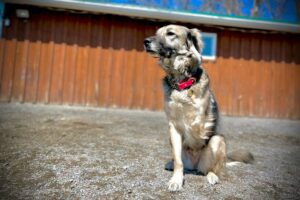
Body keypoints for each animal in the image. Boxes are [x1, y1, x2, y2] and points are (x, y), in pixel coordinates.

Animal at [144, 25, 252, 192]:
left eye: (170, 33)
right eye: (156, 33)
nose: (145, 42)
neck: (182, 83)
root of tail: (195, 166)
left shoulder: (200, 120)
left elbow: (195, 125)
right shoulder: (173, 126)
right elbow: (178, 162)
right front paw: (176, 180)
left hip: (217, 140)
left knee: (213, 169)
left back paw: (213, 176)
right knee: (181, 162)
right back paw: (171, 164)